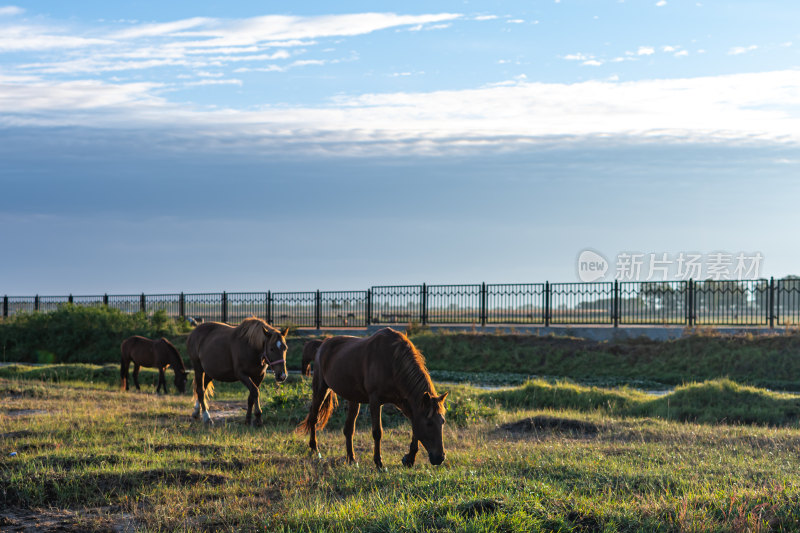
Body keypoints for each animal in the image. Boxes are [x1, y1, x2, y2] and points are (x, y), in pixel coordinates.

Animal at [300, 326, 450, 468]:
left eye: (442, 422)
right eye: (429, 423)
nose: (440, 458)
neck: (393, 362)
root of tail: (322, 344)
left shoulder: (406, 403)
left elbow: (415, 429)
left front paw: (409, 458)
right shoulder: (375, 400)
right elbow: (377, 432)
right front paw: (379, 462)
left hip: (353, 398)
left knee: (348, 429)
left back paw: (351, 459)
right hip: (320, 389)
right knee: (314, 417)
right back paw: (314, 448)